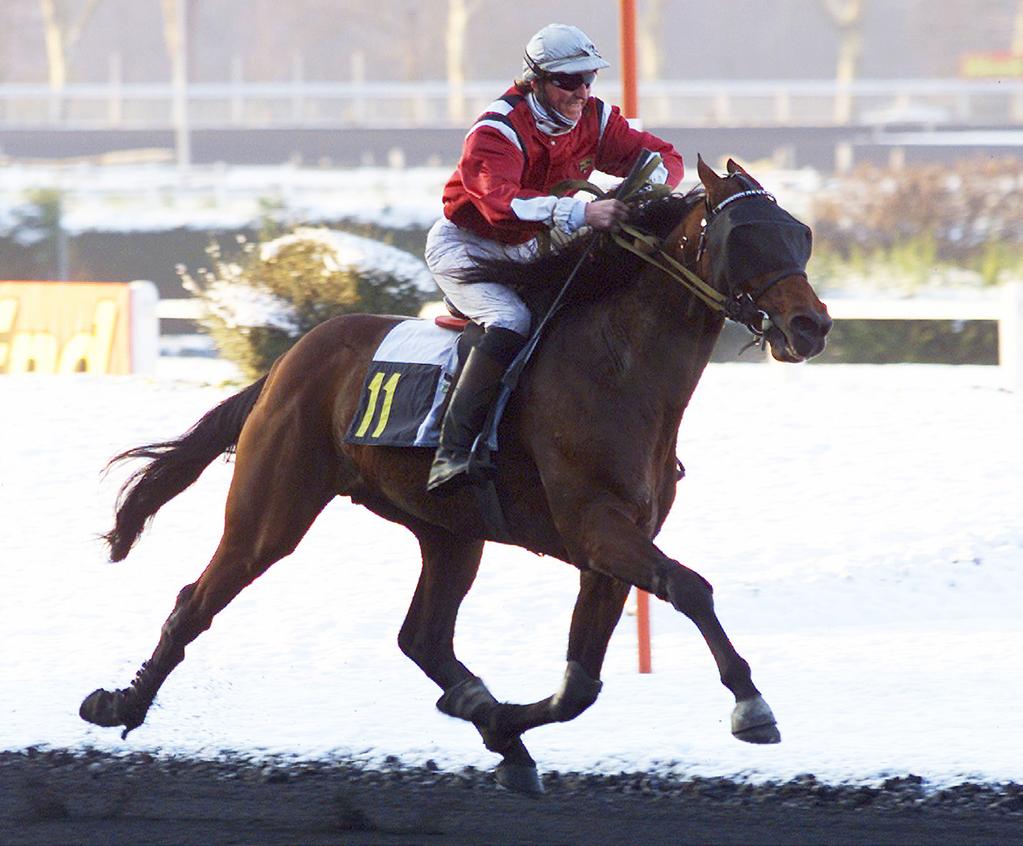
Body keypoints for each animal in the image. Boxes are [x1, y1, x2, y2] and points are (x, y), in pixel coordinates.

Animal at [79, 157, 830, 793]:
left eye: (799, 234)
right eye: (744, 237)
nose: (811, 325)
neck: (619, 366)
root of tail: (291, 360)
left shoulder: (612, 548)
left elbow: (579, 686)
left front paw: (503, 725)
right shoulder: (596, 529)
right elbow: (690, 588)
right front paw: (751, 705)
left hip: (448, 530)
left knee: (423, 636)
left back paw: (489, 719)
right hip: (272, 508)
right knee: (196, 601)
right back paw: (119, 703)